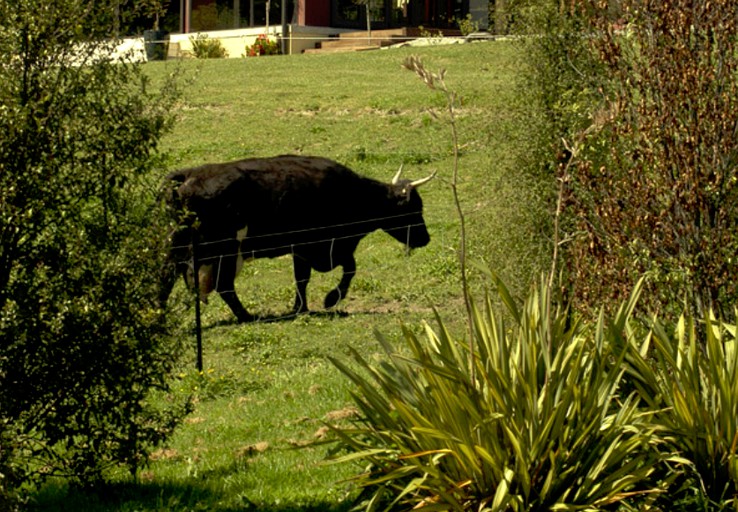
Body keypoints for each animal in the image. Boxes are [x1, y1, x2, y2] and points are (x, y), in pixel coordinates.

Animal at [158, 154, 434, 322]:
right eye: (415, 208)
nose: (426, 239)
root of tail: (189, 175)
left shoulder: (303, 250)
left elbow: (302, 279)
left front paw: (300, 307)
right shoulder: (322, 248)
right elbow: (350, 269)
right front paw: (330, 298)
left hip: (185, 246)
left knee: (170, 277)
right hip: (224, 248)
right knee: (222, 285)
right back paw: (247, 316)